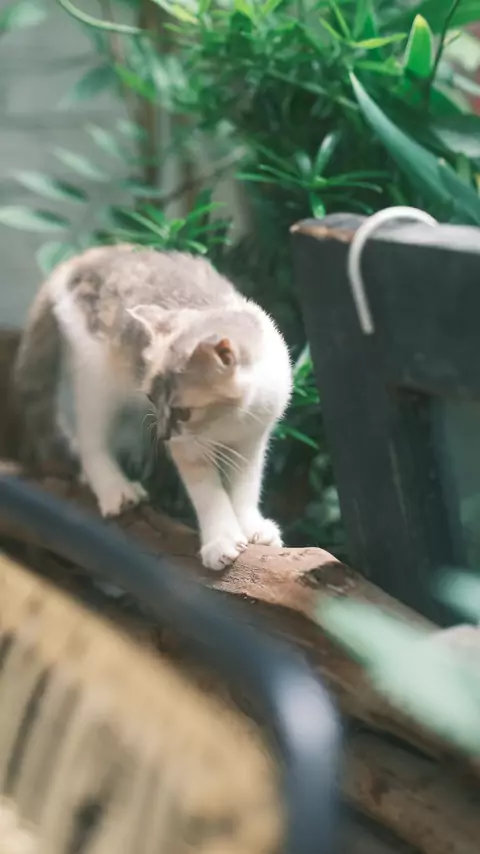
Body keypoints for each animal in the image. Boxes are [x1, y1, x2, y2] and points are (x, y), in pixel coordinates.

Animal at [14, 245, 292, 570]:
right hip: (97, 376)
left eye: (183, 411)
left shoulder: (253, 439)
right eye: (150, 398)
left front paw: (252, 525)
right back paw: (113, 487)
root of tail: (87, 256)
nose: (162, 436)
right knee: (90, 438)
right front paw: (220, 540)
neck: (229, 421)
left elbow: (246, 484)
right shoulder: (188, 447)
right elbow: (208, 491)